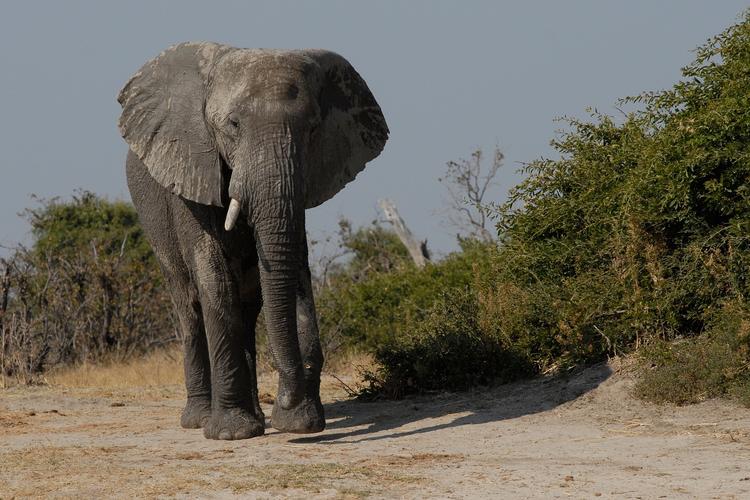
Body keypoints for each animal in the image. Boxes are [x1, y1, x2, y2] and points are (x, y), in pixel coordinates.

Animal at [117, 44, 390, 442]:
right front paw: (231, 433)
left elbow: (296, 268)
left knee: (247, 307)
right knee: (189, 304)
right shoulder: (190, 168)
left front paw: (299, 423)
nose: (288, 399)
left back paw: (256, 417)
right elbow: (212, 274)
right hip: (153, 221)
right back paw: (200, 419)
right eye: (233, 125)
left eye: (312, 128)